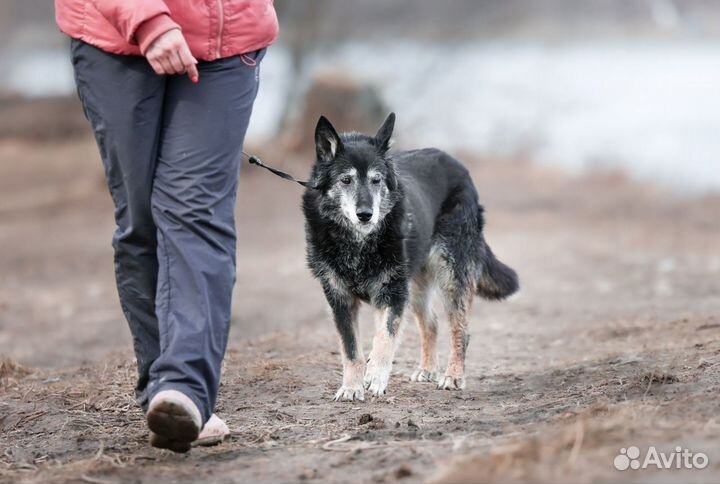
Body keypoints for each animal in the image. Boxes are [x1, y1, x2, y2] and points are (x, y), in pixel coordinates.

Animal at [300, 113, 516, 400]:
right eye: (346, 180)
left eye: (376, 180)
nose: (365, 214)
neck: (358, 243)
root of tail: (458, 166)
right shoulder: (340, 299)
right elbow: (351, 349)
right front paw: (351, 387)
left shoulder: (391, 294)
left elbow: (384, 338)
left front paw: (375, 377)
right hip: (416, 286)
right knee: (432, 324)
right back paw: (427, 370)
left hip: (451, 276)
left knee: (461, 331)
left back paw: (453, 376)